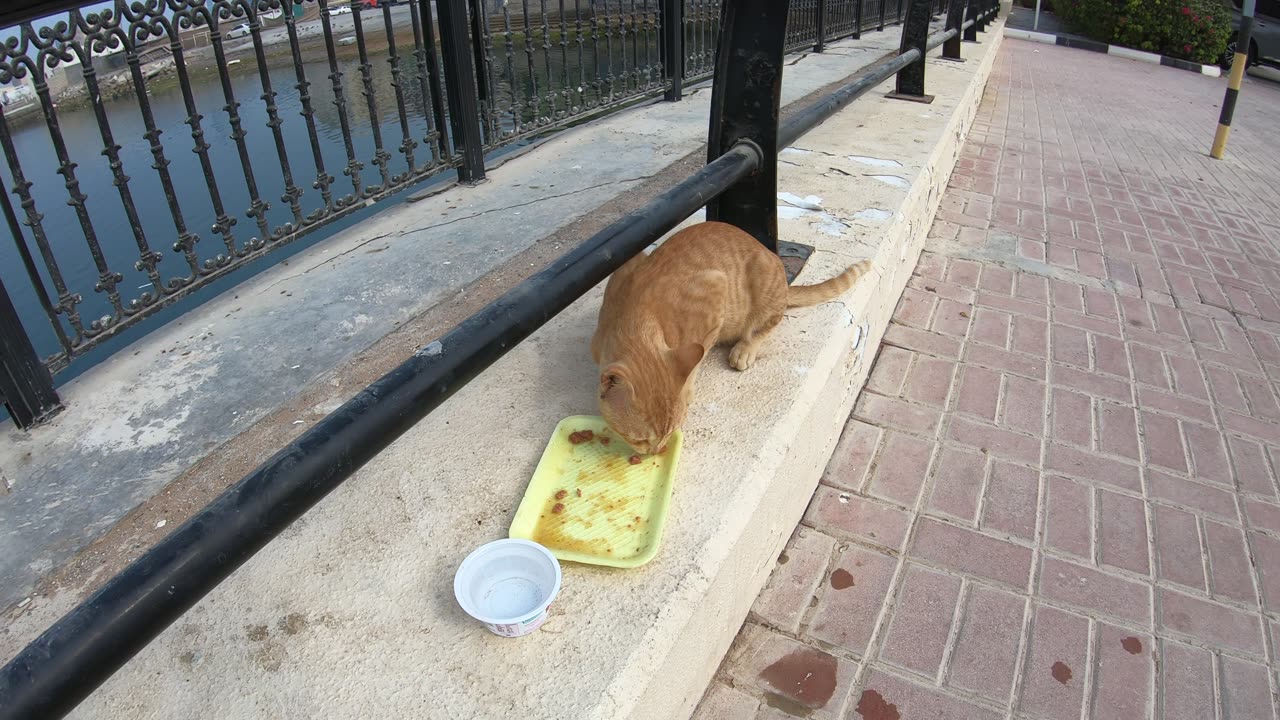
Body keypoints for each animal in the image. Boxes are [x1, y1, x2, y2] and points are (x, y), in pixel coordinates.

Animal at [586, 221, 870, 450]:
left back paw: (745, 348)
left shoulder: (715, 289)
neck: (638, 311)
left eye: (670, 433)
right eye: (641, 440)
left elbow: (698, 358)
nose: (657, 451)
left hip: (764, 280)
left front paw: (688, 392)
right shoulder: (626, 266)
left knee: (767, 324)